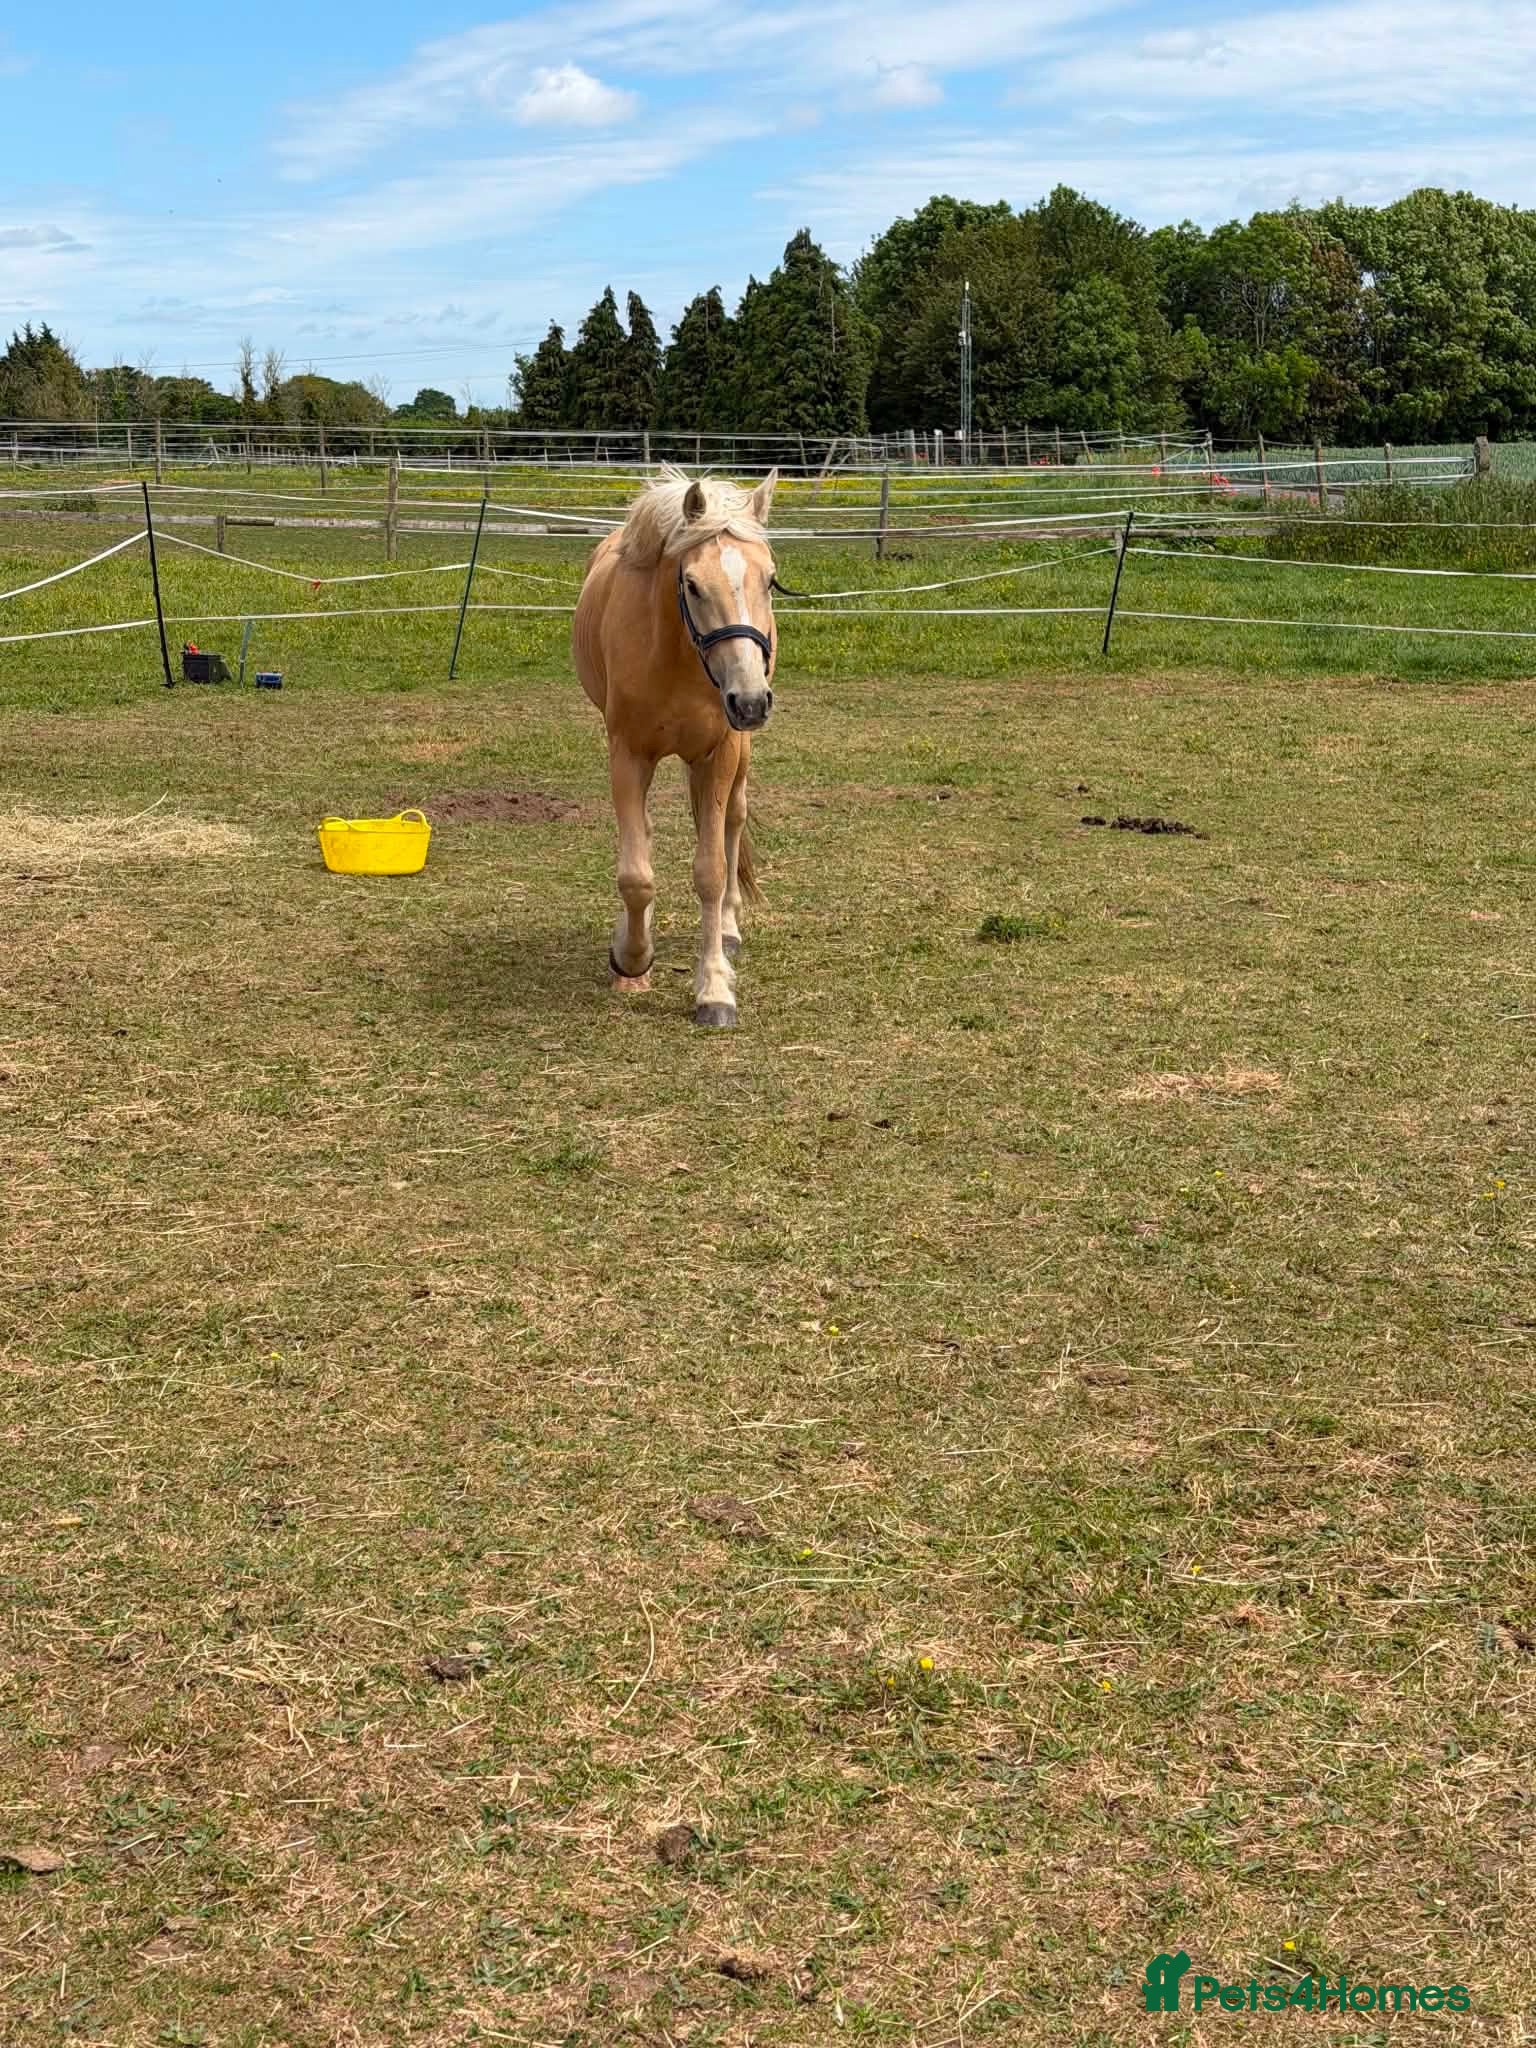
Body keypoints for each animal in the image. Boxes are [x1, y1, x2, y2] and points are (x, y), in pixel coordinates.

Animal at [572, 465, 780, 1029]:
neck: (677, 657)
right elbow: (635, 874)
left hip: (739, 754)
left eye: (769, 580)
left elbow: (711, 871)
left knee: (733, 822)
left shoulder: (719, 754)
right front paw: (631, 957)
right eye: (691, 583)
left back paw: (728, 930)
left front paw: (714, 990)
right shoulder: (627, 755)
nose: (749, 701)